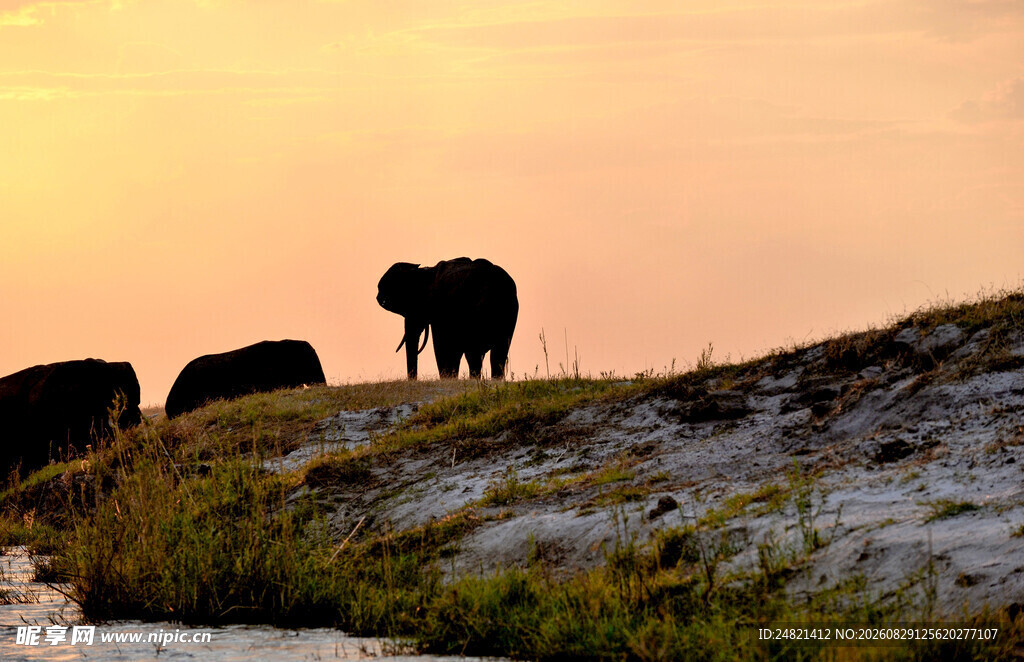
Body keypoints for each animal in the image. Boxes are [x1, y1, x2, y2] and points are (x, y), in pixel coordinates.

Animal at [377, 257, 518, 379]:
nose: (413, 380)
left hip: (478, 312)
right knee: (498, 353)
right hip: (508, 311)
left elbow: (441, 345)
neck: (424, 272)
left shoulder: (438, 309)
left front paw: (447, 378)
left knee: (474, 353)